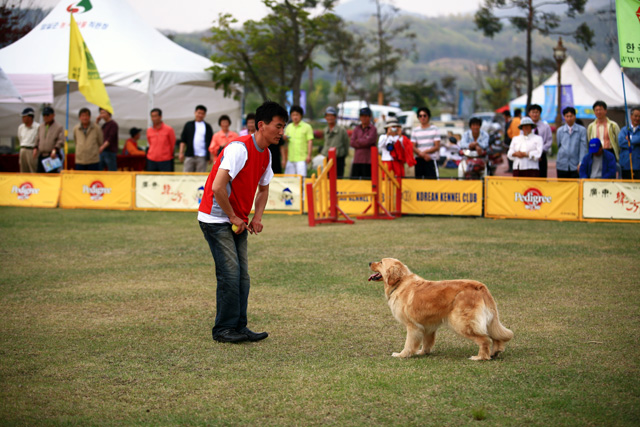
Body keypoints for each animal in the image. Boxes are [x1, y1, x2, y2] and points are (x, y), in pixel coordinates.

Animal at [368, 258, 512, 362]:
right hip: (489, 321)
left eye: (381, 262)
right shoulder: (427, 326)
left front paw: (402, 355)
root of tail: (480, 287)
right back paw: (495, 352)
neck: (400, 282)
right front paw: (422, 352)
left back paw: (480, 357)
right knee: (497, 337)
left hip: (461, 322)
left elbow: (409, 343)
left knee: (485, 339)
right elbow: (426, 343)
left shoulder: (412, 326)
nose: (369, 262)